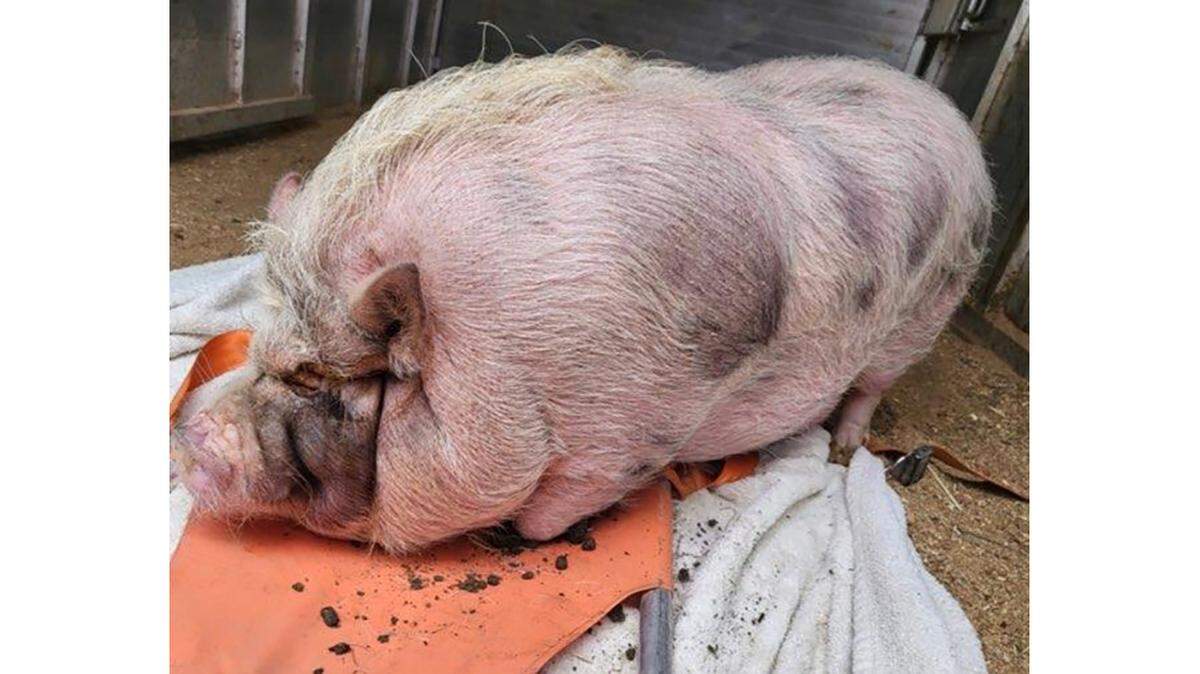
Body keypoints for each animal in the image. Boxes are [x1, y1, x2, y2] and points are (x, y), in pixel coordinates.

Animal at [171, 46, 992, 552]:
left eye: (319, 379)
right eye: (259, 351)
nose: (186, 432)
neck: (510, 366)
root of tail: (949, 114)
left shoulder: (632, 436)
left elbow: (549, 514)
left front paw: (515, 536)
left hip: (923, 315)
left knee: (871, 386)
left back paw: (847, 445)